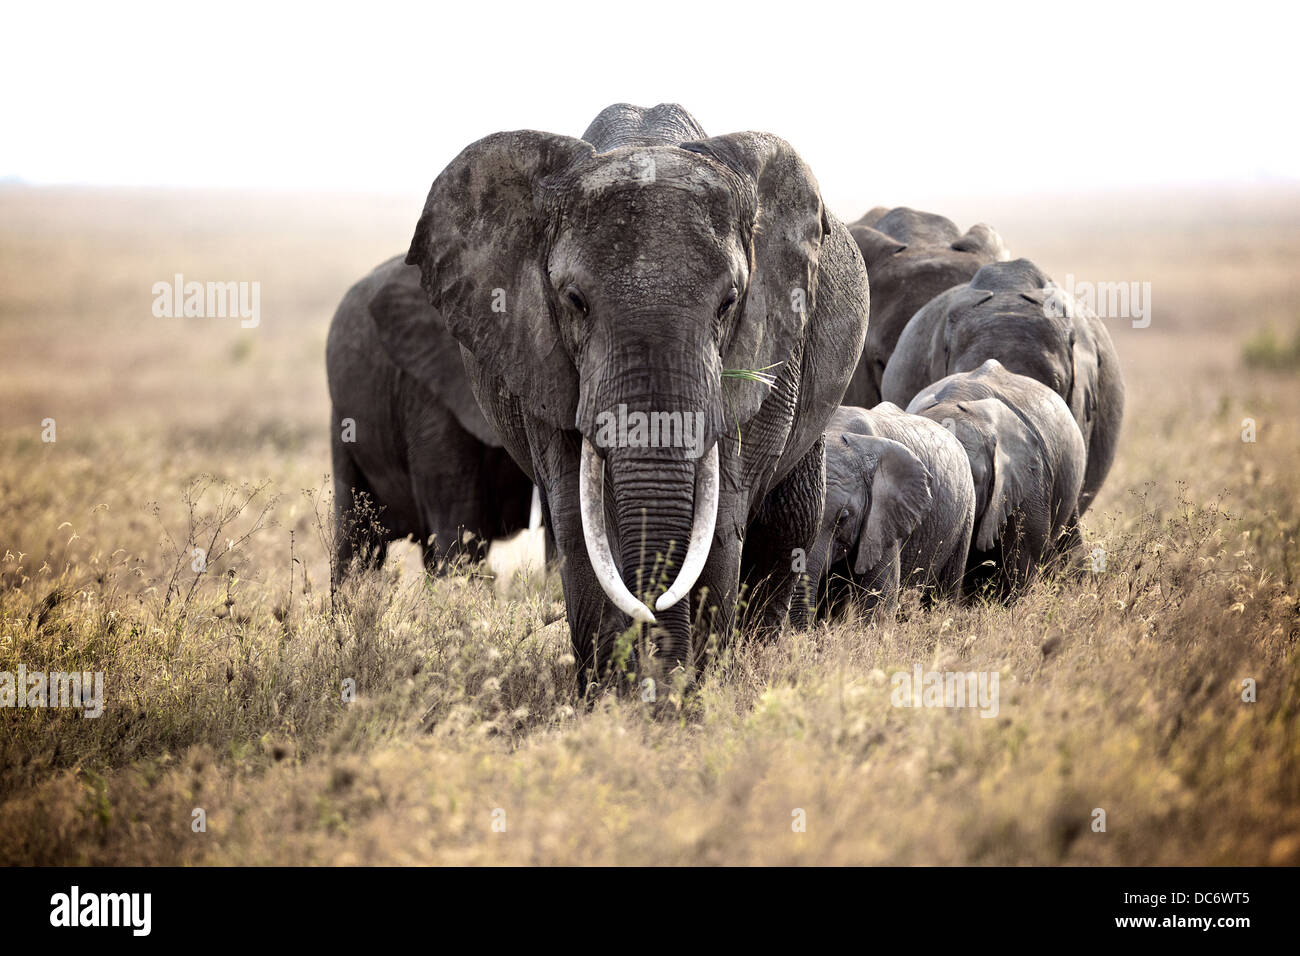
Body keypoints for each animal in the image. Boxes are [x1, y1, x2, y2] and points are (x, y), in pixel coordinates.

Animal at [384, 104, 873, 686]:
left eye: (729, 302)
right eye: (574, 301)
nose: (653, 621)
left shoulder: (767, 350)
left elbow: (721, 521)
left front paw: (690, 693)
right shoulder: (539, 358)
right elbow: (581, 525)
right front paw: (609, 693)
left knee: (788, 524)